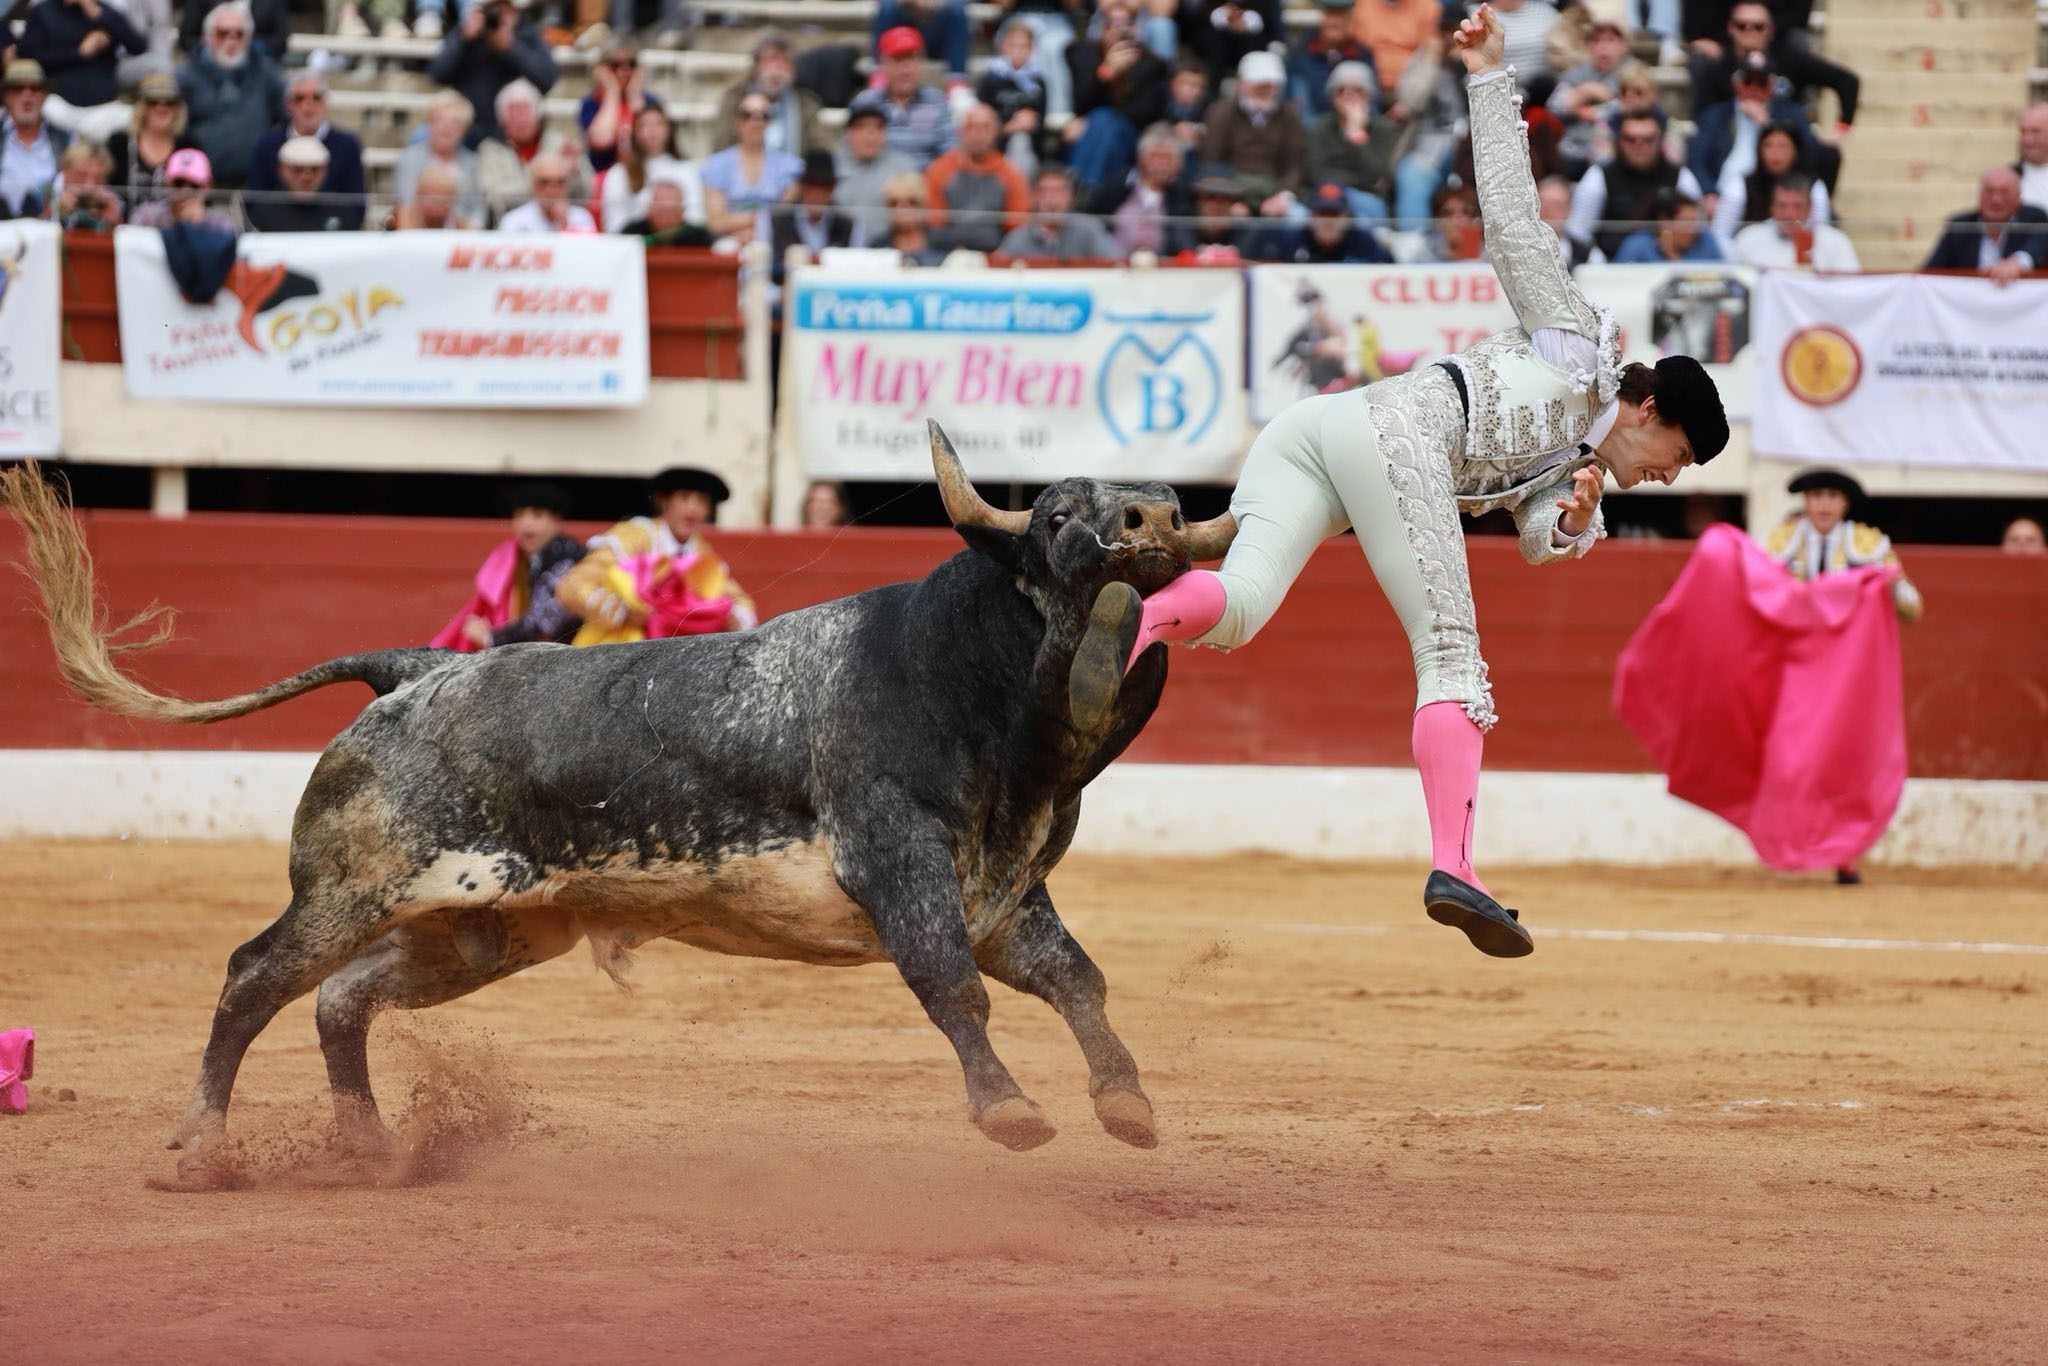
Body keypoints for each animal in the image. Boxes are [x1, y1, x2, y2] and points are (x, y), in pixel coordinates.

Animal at [0, 432, 1228, 1179]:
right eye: (1058, 515)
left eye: (1168, 500)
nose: (1148, 521)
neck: (974, 686)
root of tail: (415, 673)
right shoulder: (903, 862)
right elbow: (951, 989)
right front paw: (1013, 1113)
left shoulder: (1003, 887)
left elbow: (1074, 979)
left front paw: (1127, 1105)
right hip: (352, 888)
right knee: (255, 974)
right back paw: (202, 1145)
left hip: (481, 929)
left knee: (341, 1001)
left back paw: (371, 1145)